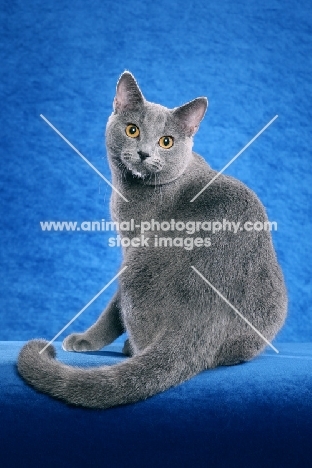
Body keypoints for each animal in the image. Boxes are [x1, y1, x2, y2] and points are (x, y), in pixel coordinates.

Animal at [16, 71, 286, 408]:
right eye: (132, 130)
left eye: (165, 141)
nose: (144, 153)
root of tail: (204, 316)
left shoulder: (130, 243)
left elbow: (113, 307)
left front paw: (86, 339)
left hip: (136, 265)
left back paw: (130, 349)